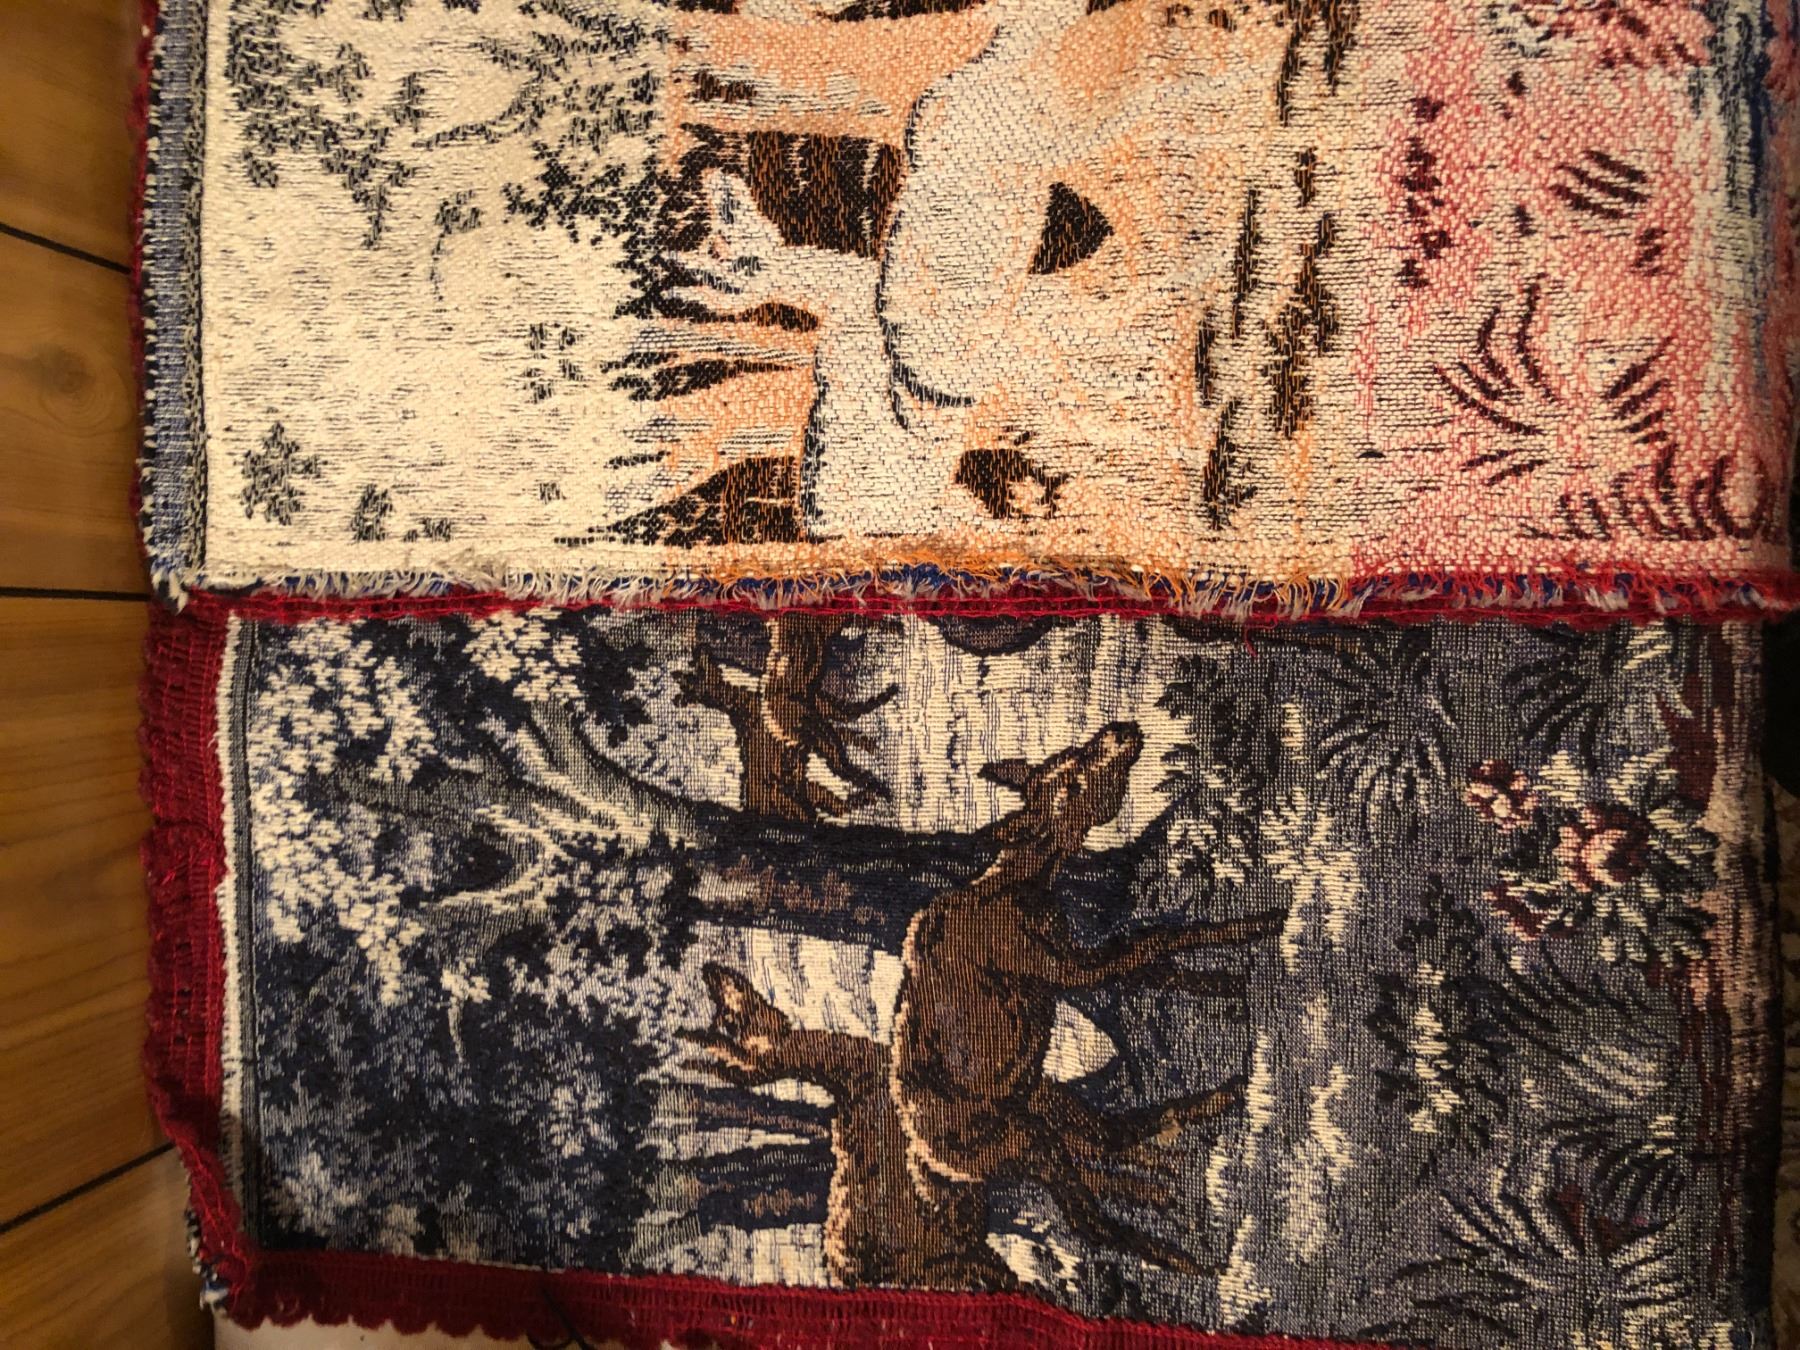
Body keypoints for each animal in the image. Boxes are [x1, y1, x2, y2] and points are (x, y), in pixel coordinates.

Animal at [889, 721, 1286, 1276]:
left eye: (1072, 754)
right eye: (1071, 782)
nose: (1122, 730)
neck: (1026, 886)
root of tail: (926, 1162)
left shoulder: (1074, 960)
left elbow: (1159, 958)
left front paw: (1238, 974)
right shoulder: (1067, 970)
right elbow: (1155, 941)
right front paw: (1261, 932)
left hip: (1042, 1100)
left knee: (1112, 1135)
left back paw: (1223, 1108)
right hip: (1025, 1141)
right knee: (1088, 1219)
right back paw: (1194, 1259)